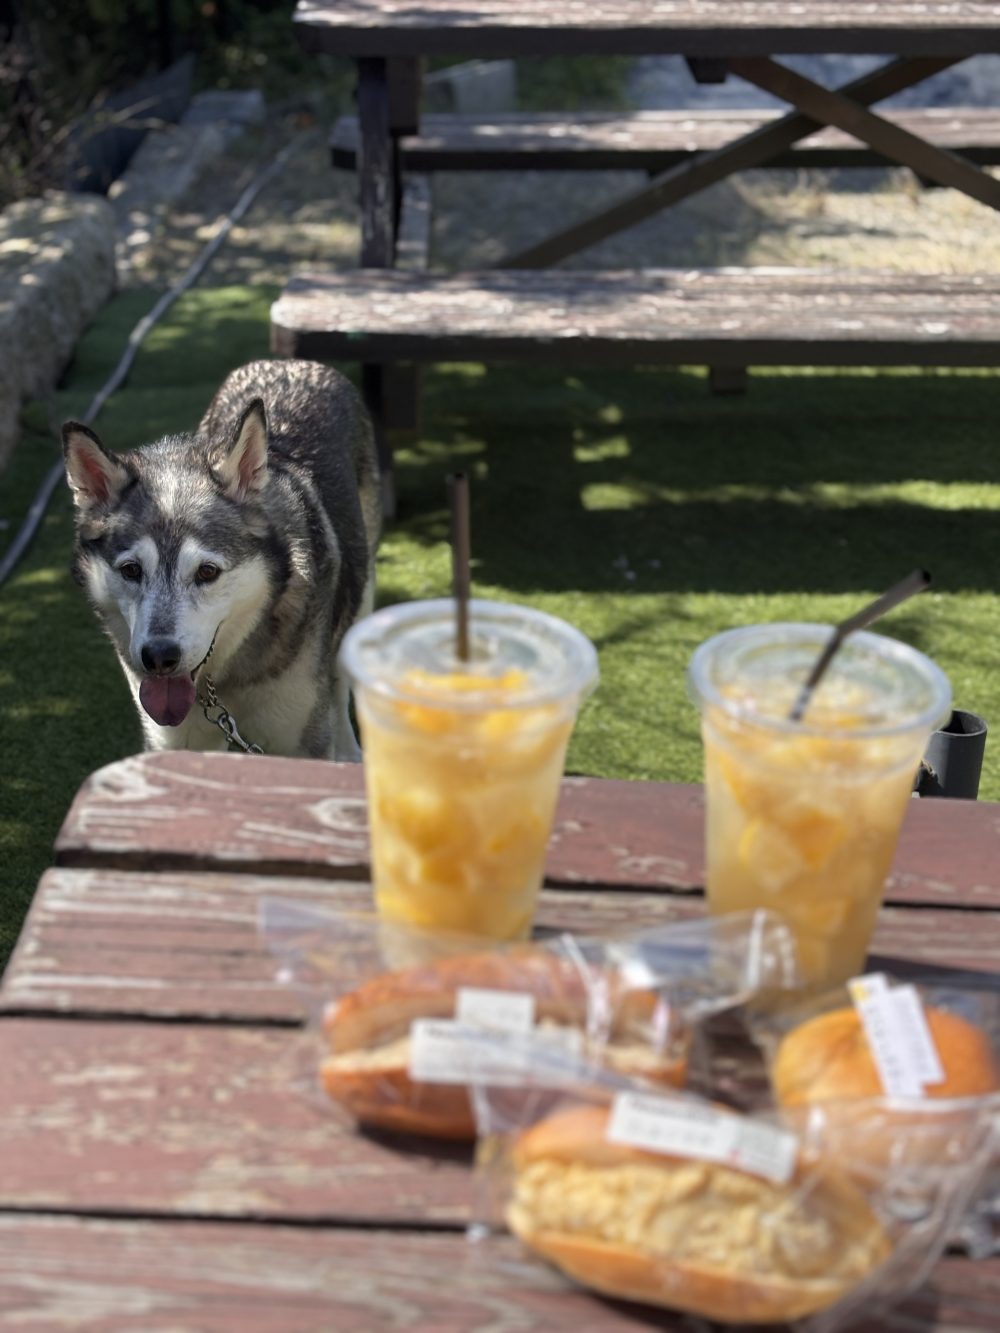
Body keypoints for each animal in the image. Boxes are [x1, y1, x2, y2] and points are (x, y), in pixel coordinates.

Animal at [62, 359, 381, 760]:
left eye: (207, 572)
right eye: (131, 570)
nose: (159, 657)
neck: (221, 681)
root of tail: (292, 362)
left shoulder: (300, 743)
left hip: (359, 603)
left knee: (341, 688)